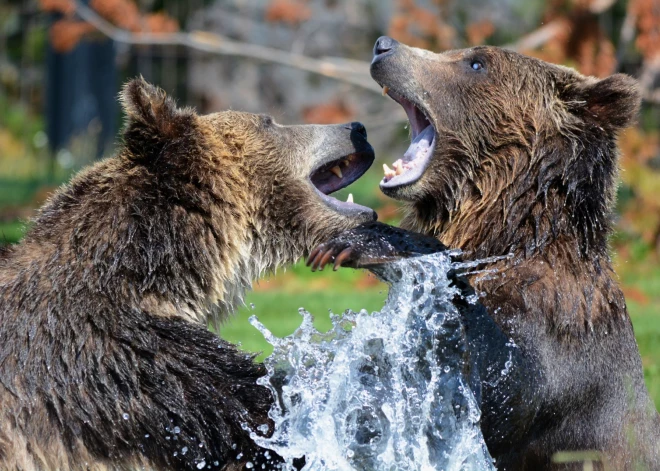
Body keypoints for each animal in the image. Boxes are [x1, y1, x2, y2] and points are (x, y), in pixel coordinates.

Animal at [312, 39, 660, 471]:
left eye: (476, 63)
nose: (384, 46)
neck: (506, 236)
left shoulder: (558, 332)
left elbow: (502, 383)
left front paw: (364, 242)